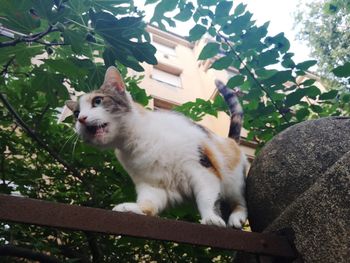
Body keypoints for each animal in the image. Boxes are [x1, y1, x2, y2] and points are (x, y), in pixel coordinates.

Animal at [65, 66, 249, 229]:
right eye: (76, 113)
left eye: (97, 101)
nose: (81, 119)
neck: (136, 141)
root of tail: (231, 141)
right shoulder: (152, 184)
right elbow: (149, 202)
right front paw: (135, 209)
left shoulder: (201, 168)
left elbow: (207, 198)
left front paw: (211, 218)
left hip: (234, 181)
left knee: (241, 201)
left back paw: (236, 217)